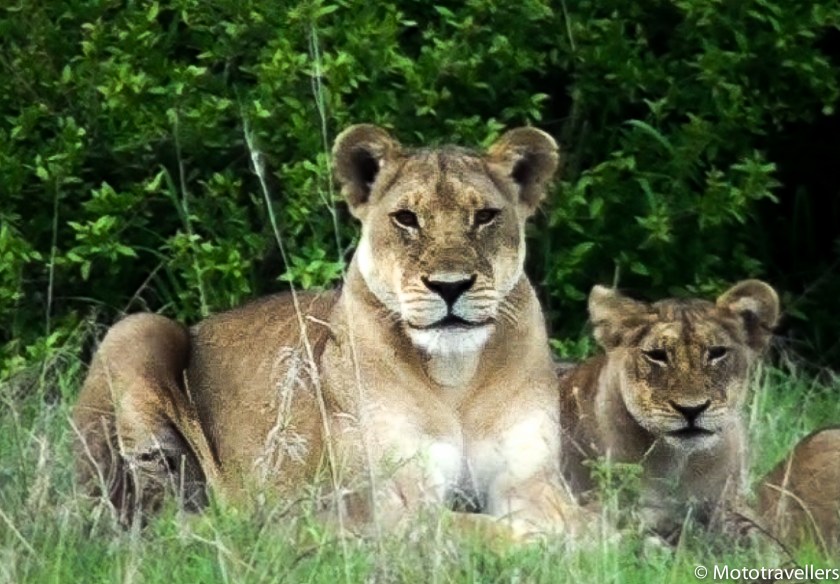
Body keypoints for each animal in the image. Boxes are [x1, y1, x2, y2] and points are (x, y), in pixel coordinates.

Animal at [72, 124, 587, 538]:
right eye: (406, 218)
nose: (450, 286)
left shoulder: (530, 481)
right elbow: (487, 531)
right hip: (137, 330)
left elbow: (573, 522)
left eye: (484, 216)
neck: (454, 377)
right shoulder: (392, 502)